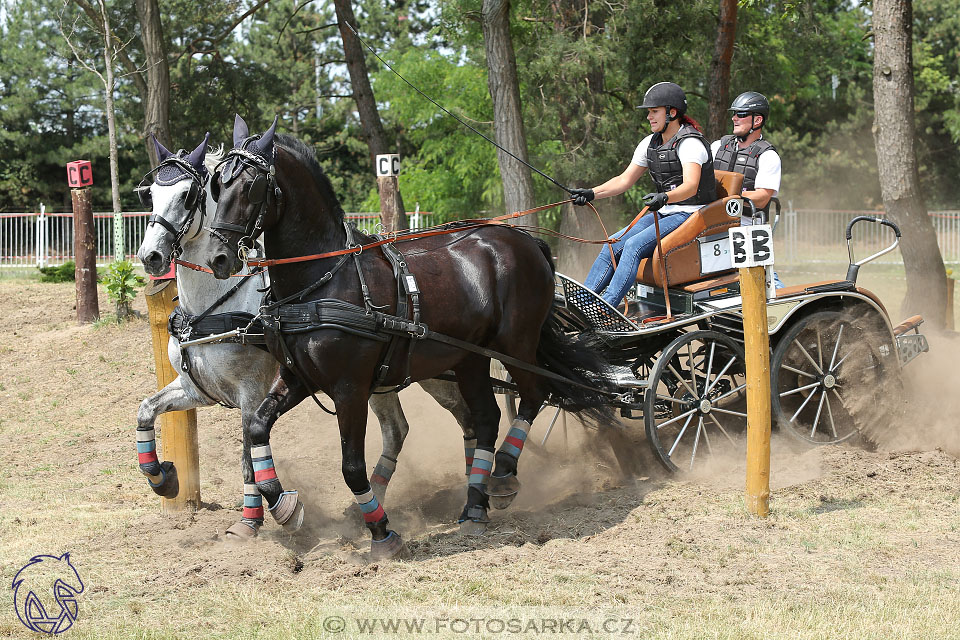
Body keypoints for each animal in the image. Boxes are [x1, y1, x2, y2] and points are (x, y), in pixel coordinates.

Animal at [196, 117, 612, 556]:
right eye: (216, 185)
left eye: (251, 186)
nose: (218, 258)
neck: (322, 279)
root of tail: (524, 238)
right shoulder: (297, 377)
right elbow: (257, 427)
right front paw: (284, 506)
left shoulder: (350, 389)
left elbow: (352, 466)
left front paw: (381, 532)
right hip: (470, 357)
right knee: (486, 418)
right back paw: (474, 507)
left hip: (516, 345)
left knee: (534, 395)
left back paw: (502, 475)